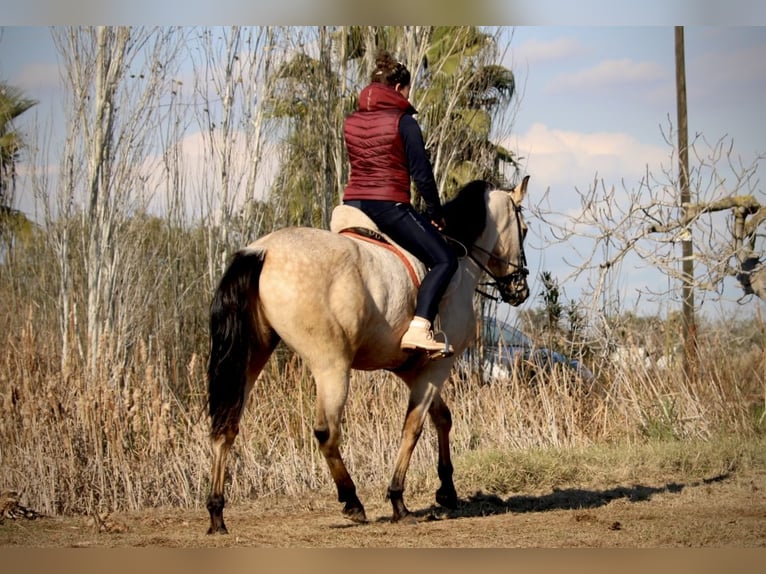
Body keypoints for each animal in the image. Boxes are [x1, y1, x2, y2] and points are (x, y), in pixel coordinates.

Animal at [204, 177, 532, 536]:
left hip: (251, 358)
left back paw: (217, 514)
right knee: (326, 431)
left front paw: (447, 490)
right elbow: (414, 427)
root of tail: (262, 251)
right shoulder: (438, 366)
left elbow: (441, 418)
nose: (520, 290)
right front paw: (399, 500)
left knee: (227, 425)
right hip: (331, 365)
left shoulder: (411, 369)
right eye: (524, 230)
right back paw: (352, 501)